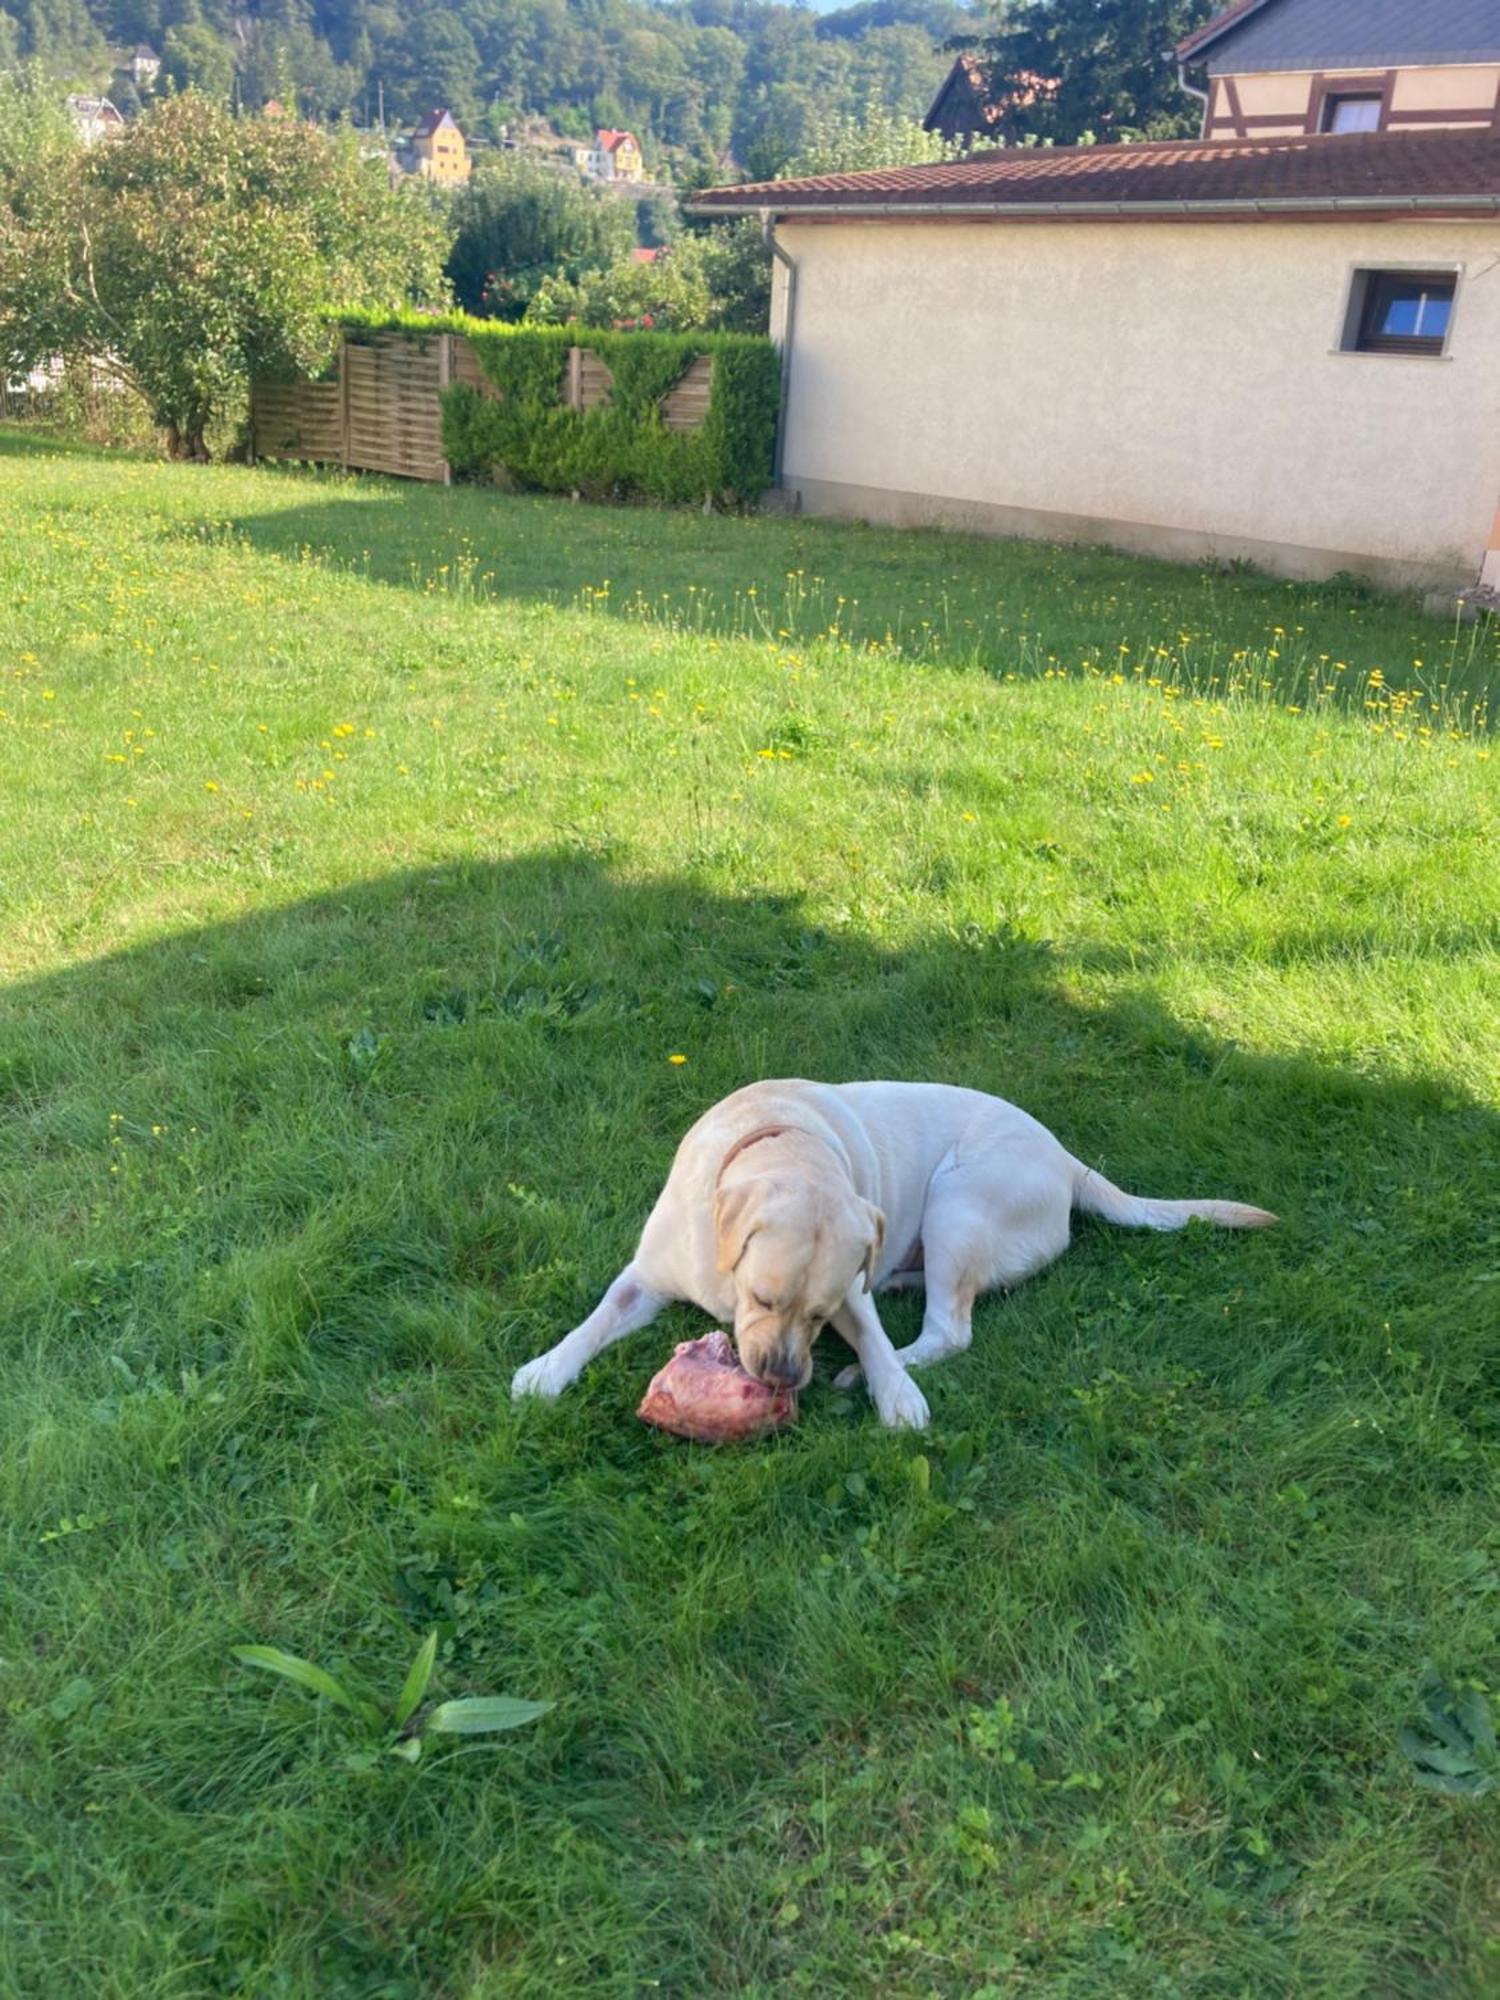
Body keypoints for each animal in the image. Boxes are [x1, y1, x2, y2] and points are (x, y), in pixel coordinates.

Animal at [512, 1088, 1272, 1432]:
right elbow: (595, 1320)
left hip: (957, 1200)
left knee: (949, 1329)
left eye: (818, 1316)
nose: (783, 1378)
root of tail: (1068, 1161)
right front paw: (546, 1370)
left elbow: (874, 1337)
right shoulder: (645, 1277)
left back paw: (874, 1368)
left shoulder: (851, 1290)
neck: (778, 1140)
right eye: (763, 1298)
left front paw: (895, 1394)